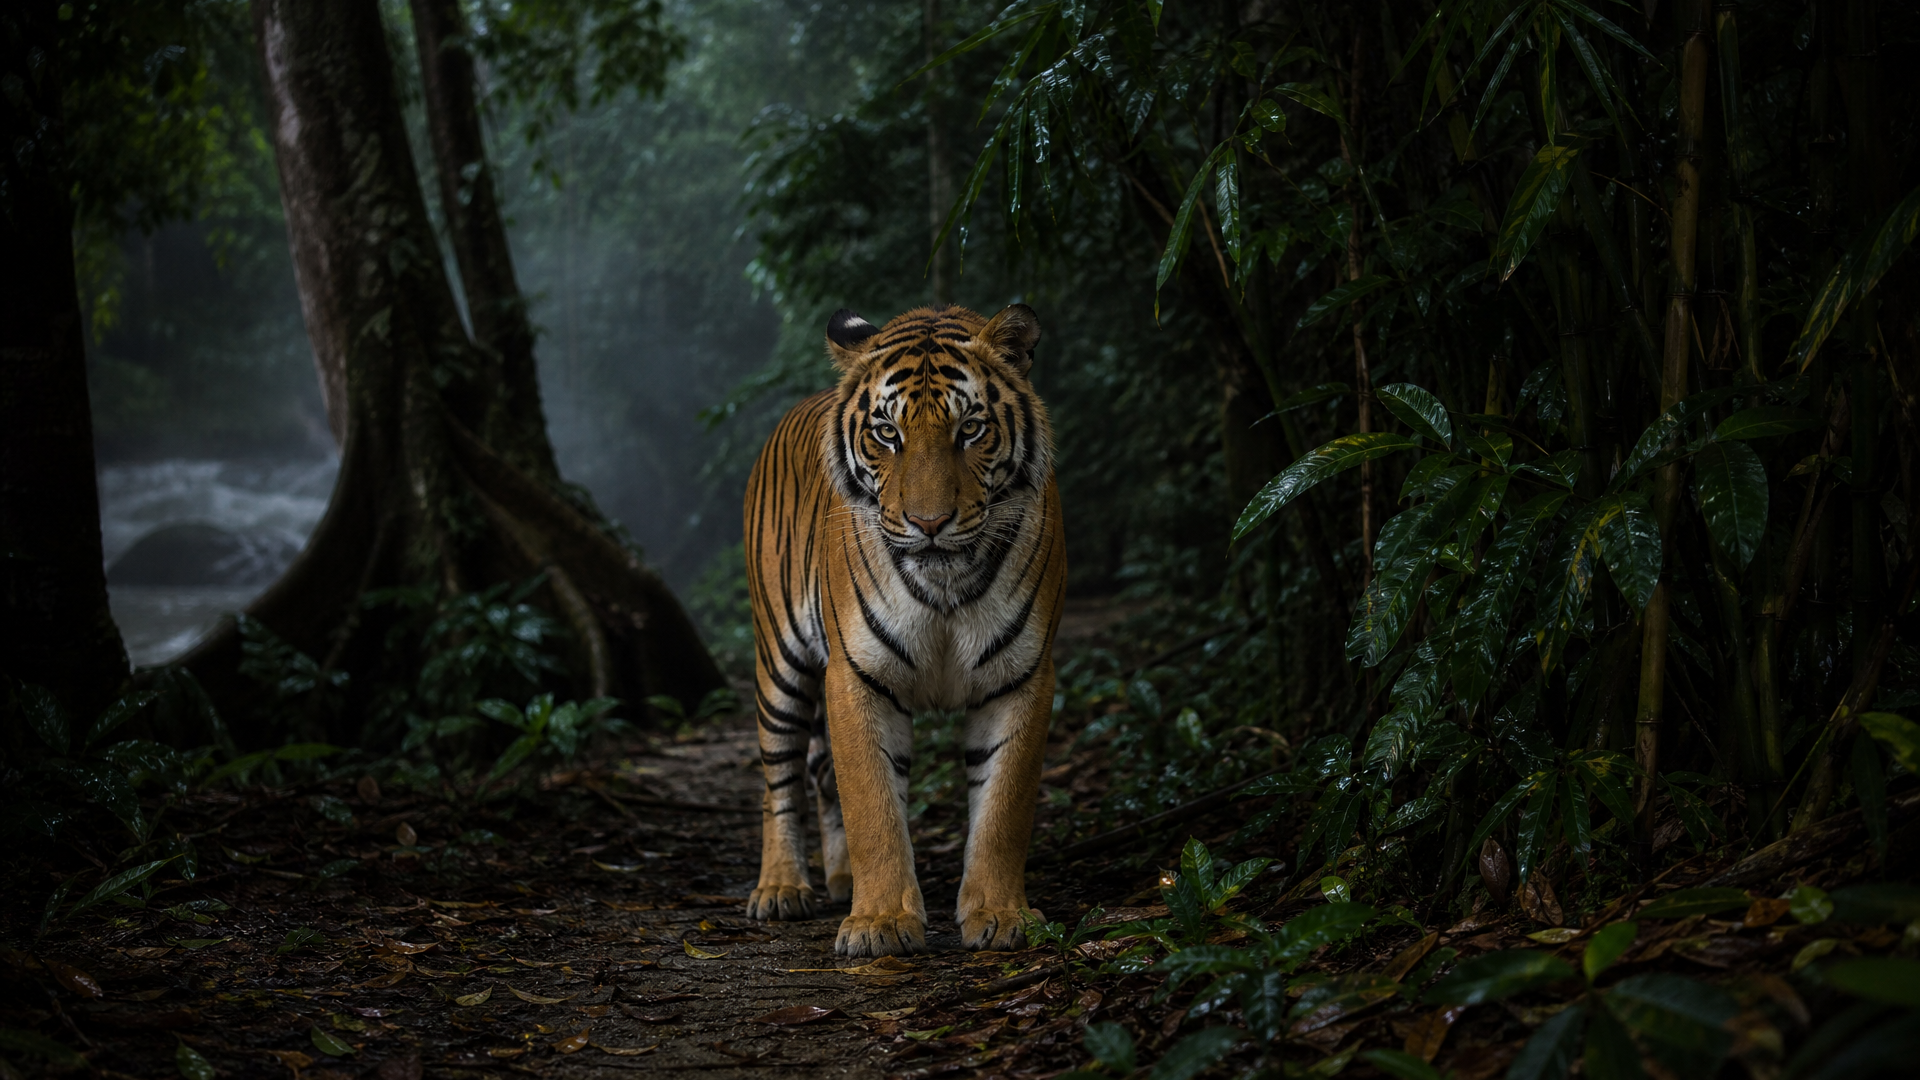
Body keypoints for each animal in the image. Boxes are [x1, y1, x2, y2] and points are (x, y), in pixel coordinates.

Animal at [741, 302, 1065, 958]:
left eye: (971, 429)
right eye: (887, 433)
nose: (929, 522)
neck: (946, 582)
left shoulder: (1022, 675)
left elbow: (1004, 805)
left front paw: (1001, 915)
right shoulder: (856, 676)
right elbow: (872, 805)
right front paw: (881, 924)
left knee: (820, 777)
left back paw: (839, 881)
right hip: (778, 663)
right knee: (780, 778)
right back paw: (782, 888)